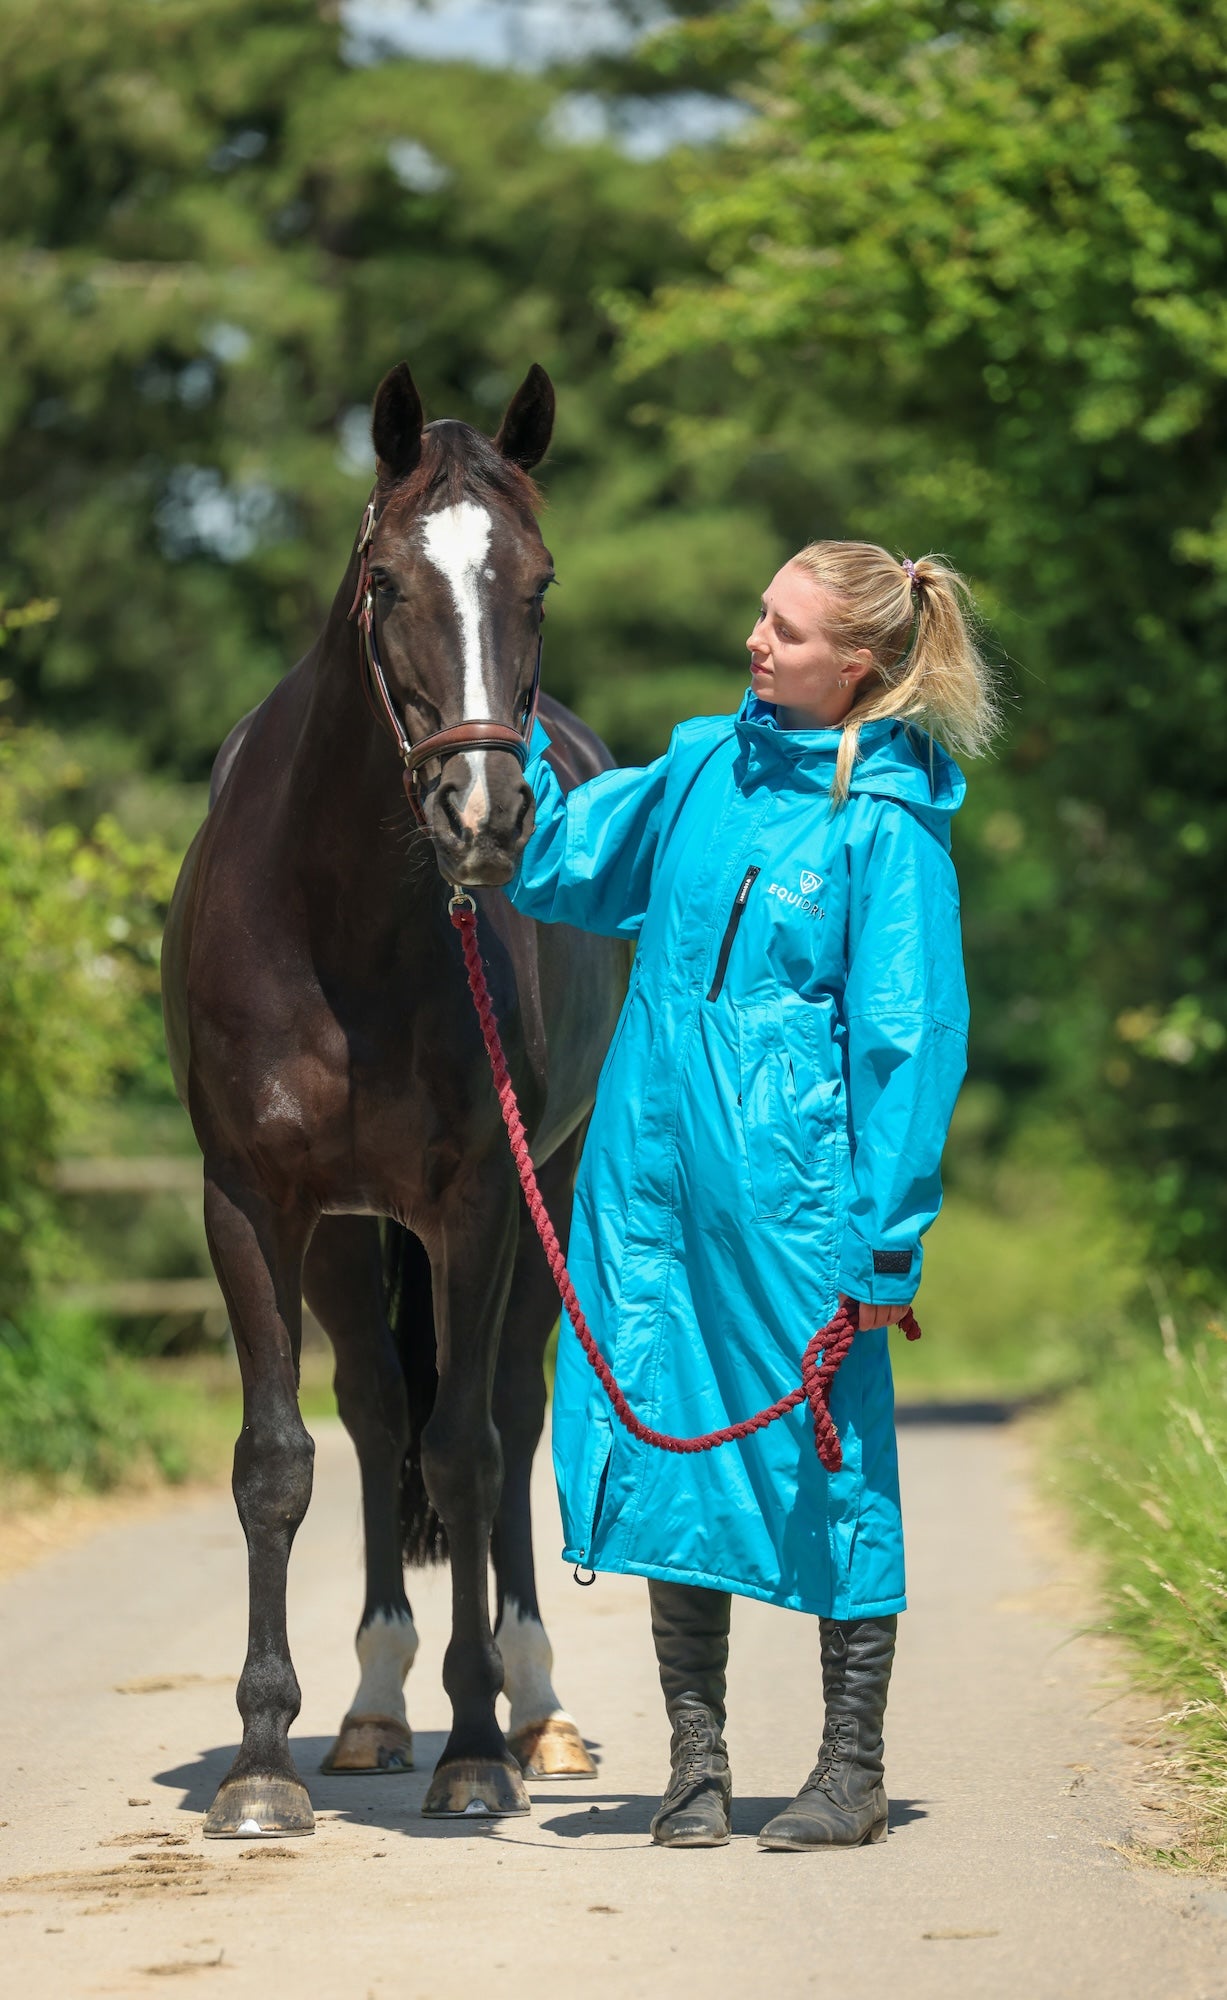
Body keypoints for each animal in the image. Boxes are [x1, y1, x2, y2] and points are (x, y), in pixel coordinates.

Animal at [161, 360, 631, 1832]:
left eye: (539, 580)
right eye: (385, 582)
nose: (484, 816)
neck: (341, 925)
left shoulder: (479, 1200)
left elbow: (470, 1449)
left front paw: (476, 1745)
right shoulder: (253, 1205)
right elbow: (277, 1460)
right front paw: (261, 1760)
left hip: (545, 1193)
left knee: (512, 1411)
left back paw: (536, 1713)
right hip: (350, 1234)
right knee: (373, 1412)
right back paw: (370, 1710)